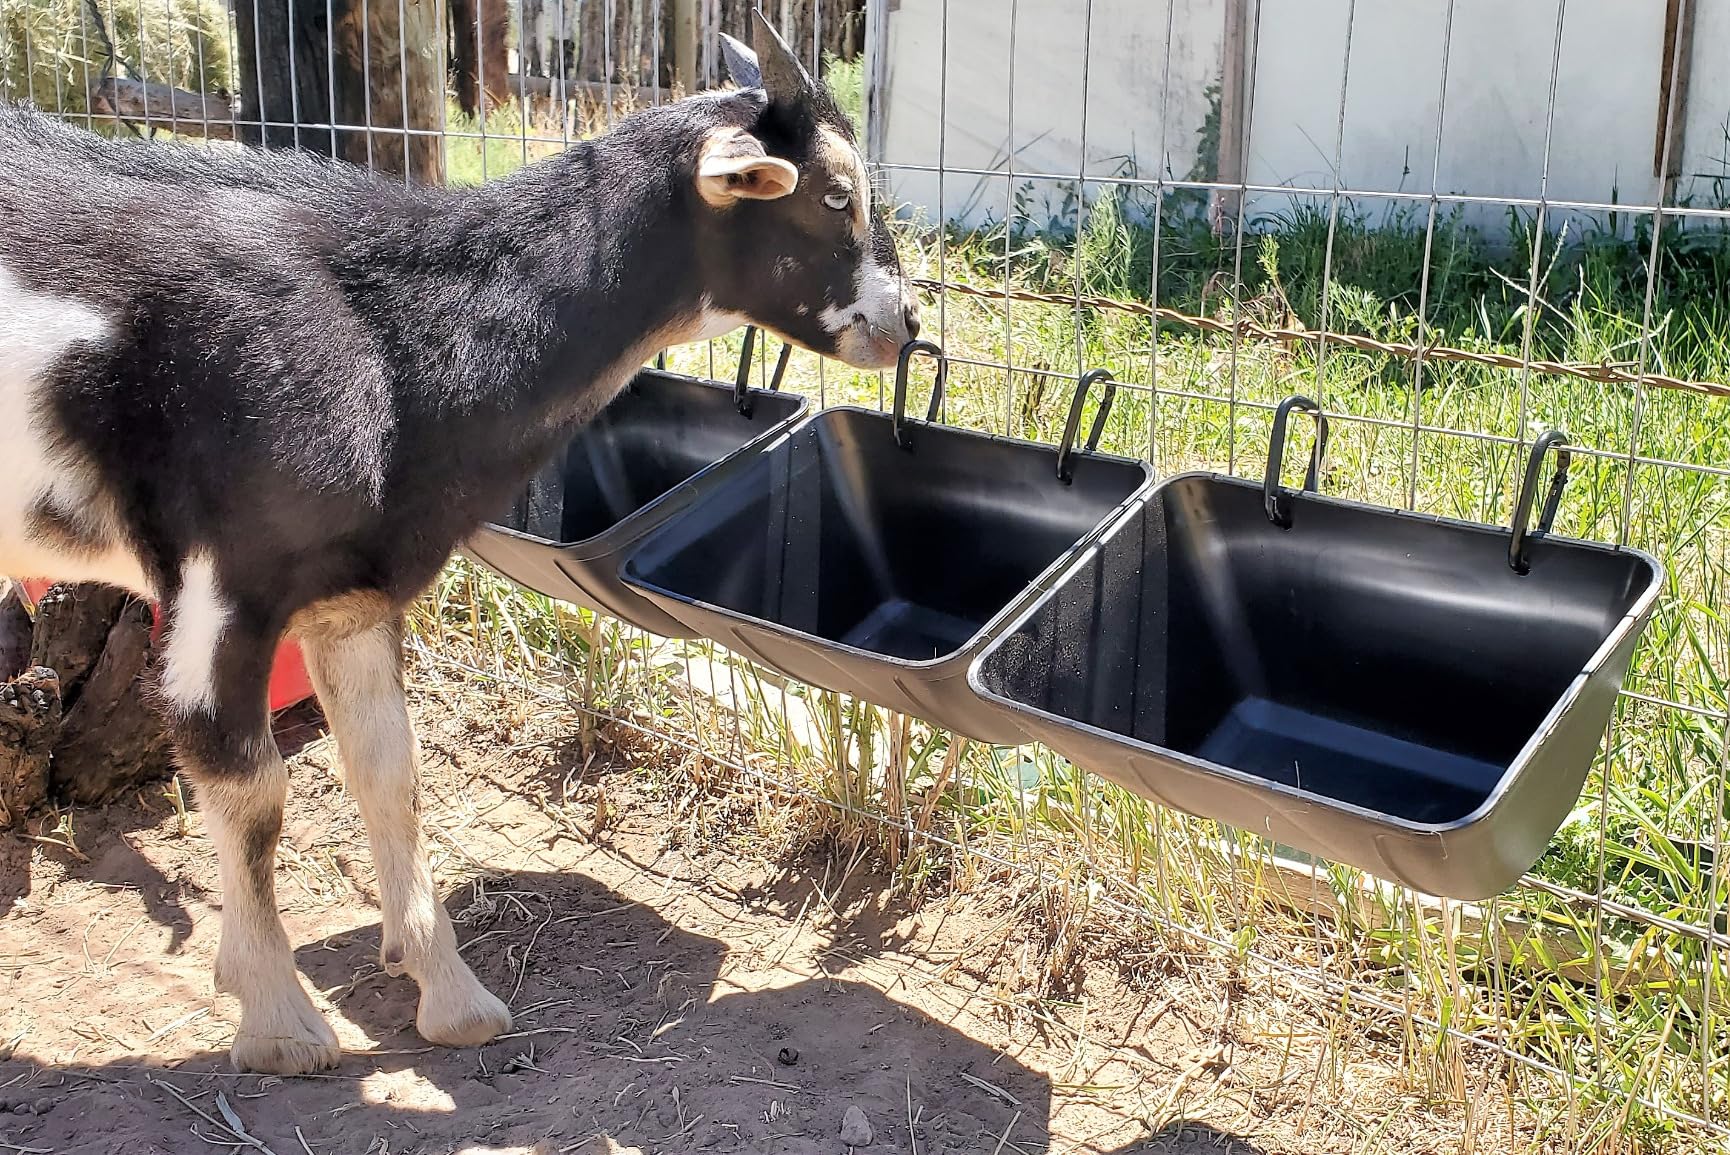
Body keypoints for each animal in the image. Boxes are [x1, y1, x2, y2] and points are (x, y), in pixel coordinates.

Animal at [0, 10, 919, 1074]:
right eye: (834, 195)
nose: (908, 321)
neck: (386, 330)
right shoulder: (220, 584)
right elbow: (251, 787)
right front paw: (278, 1020)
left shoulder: (348, 590)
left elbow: (390, 774)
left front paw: (450, 994)